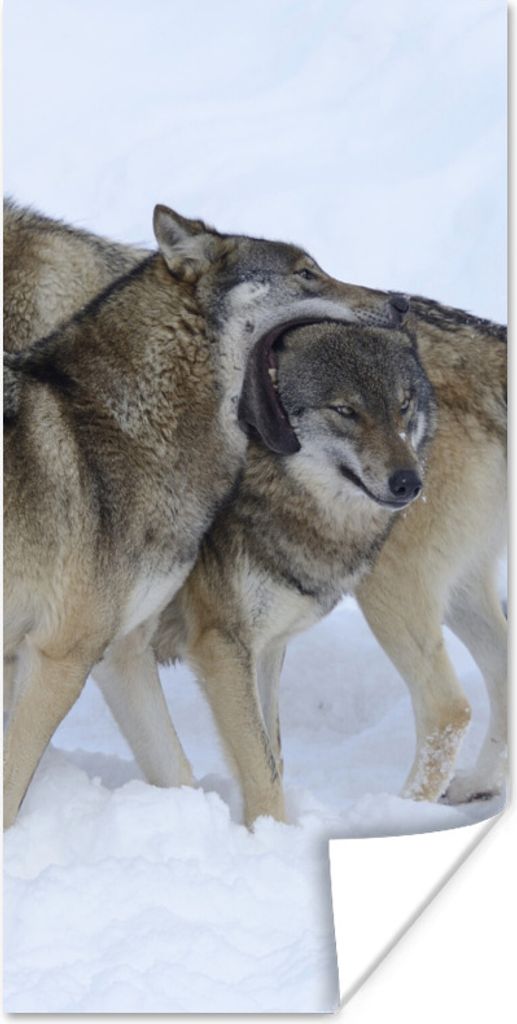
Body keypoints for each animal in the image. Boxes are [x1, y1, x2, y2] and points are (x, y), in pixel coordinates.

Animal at [4, 201, 402, 827]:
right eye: (306, 273)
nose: (401, 302)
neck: (127, 425)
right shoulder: (60, 656)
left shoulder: (119, 655)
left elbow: (179, 773)